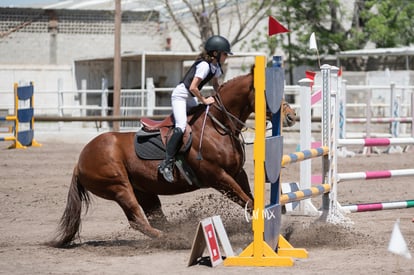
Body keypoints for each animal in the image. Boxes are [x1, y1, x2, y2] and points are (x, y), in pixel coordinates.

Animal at [47, 68, 294, 249]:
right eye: (268, 91)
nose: (291, 116)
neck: (218, 125)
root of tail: (79, 161)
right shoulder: (218, 177)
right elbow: (249, 202)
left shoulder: (236, 173)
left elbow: (251, 200)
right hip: (119, 187)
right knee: (138, 220)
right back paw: (175, 240)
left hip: (144, 192)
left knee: (156, 219)